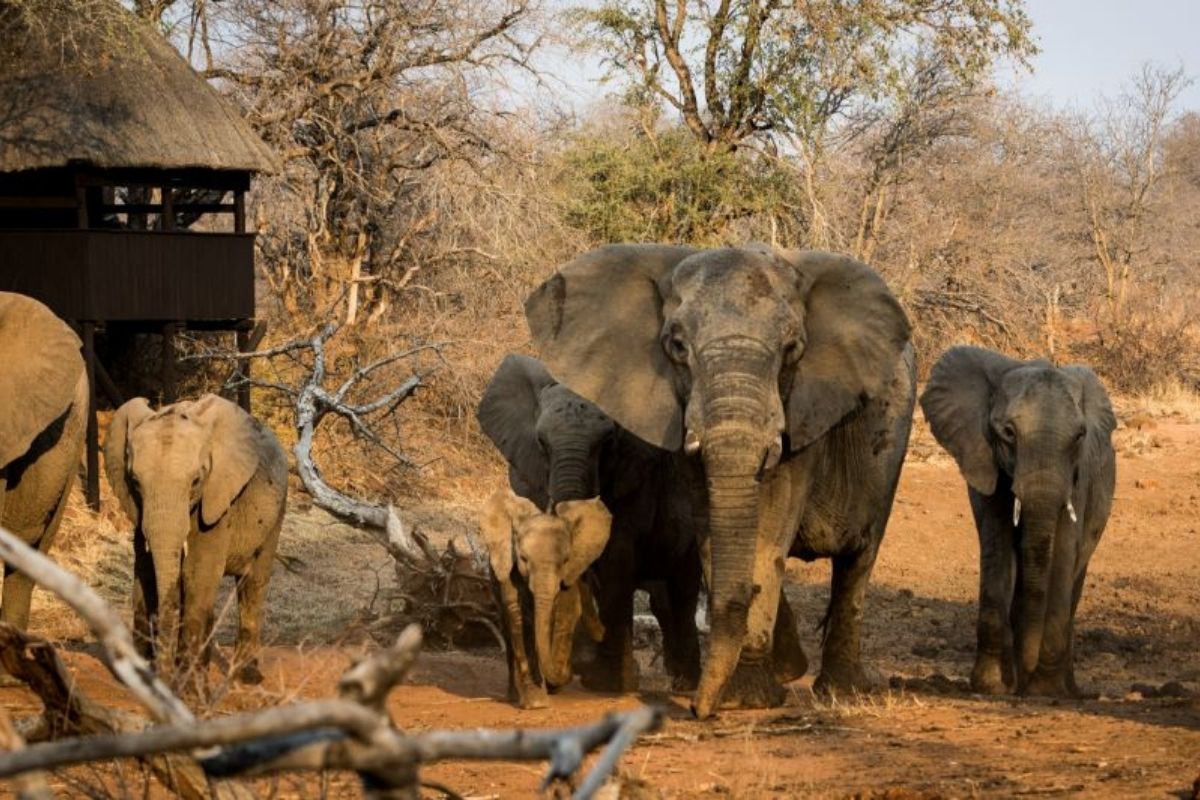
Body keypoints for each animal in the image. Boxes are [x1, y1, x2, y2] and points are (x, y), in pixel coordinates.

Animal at [104, 393, 288, 685]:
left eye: (196, 481)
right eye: (135, 482)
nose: (162, 676)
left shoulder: (218, 499)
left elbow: (197, 574)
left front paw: (187, 685)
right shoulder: (139, 512)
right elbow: (145, 573)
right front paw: (143, 670)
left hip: (277, 510)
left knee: (253, 584)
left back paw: (247, 676)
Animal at [479, 489, 612, 708]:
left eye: (565, 561)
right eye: (523, 559)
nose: (572, 674)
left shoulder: (570, 573)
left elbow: (567, 611)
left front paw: (555, 681)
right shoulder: (509, 566)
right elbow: (519, 616)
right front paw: (536, 702)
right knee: (507, 628)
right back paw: (514, 695)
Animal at [525, 244, 916, 718]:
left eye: (792, 349)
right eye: (676, 346)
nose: (697, 709)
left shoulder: (803, 408)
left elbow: (769, 527)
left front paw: (747, 698)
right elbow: (714, 531)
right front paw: (738, 695)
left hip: (891, 441)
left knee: (858, 558)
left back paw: (841, 691)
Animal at [919, 346, 1116, 697]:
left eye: (1080, 436)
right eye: (1009, 433)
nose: (1023, 684)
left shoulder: (1078, 478)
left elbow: (1063, 551)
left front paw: (1045, 690)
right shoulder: (985, 460)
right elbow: (996, 546)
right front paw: (991, 686)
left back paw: (1068, 690)